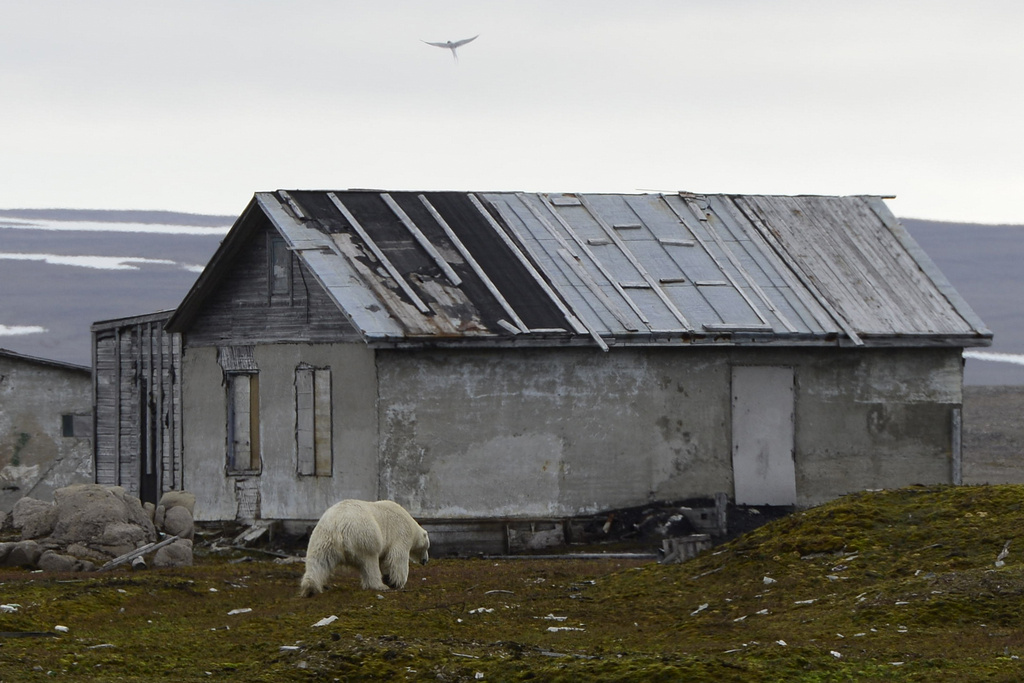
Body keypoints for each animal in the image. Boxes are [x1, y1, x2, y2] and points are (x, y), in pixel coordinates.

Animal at [299, 497, 428, 598]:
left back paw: (310, 588)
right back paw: (379, 585)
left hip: (322, 538)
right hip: (364, 536)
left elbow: (386, 560)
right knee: (370, 563)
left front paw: (389, 578)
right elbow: (397, 558)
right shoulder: (401, 533)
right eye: (427, 548)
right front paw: (397, 582)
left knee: (318, 562)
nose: (425, 560)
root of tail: (339, 525)